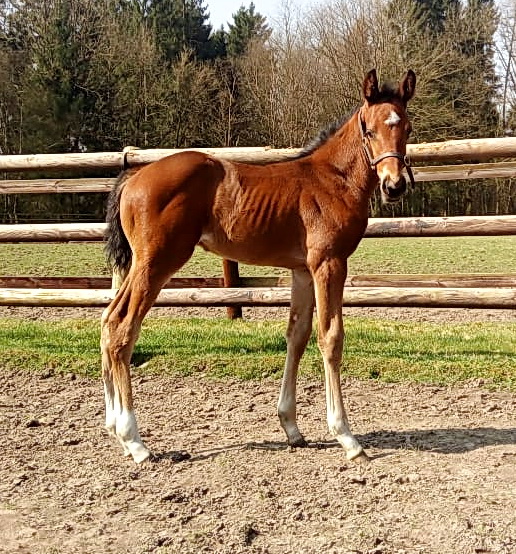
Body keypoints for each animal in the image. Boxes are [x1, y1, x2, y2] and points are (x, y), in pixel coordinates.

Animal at [101, 70, 416, 462]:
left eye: (407, 128)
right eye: (369, 131)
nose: (394, 185)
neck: (333, 179)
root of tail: (133, 178)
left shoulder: (302, 270)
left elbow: (297, 336)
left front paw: (292, 428)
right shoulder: (329, 264)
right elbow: (330, 337)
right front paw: (346, 437)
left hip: (140, 265)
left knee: (107, 320)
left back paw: (115, 428)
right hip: (156, 263)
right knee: (122, 328)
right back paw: (135, 441)